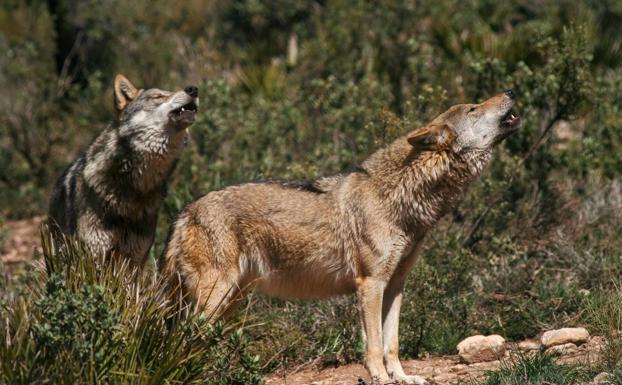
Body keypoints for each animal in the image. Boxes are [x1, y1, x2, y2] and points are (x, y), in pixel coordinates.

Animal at [161, 91, 520, 382]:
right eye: (473, 107)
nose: (510, 91)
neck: (400, 197)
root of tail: (183, 211)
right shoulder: (370, 284)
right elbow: (373, 345)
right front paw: (381, 378)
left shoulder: (395, 286)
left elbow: (392, 343)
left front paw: (402, 378)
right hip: (216, 298)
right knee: (185, 341)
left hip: (229, 301)